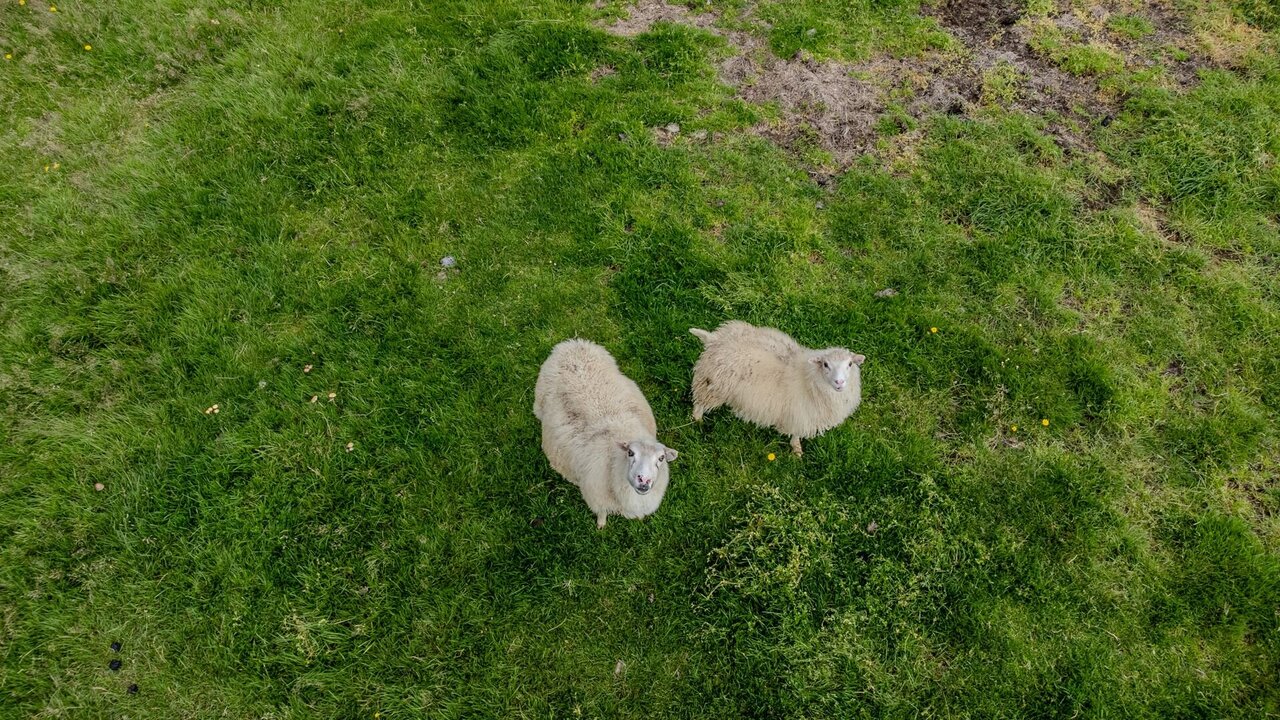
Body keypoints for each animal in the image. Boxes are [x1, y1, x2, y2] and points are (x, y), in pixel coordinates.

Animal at [534, 339, 679, 529]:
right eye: (630, 453)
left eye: (661, 458)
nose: (644, 480)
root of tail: (572, 343)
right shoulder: (597, 499)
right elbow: (602, 514)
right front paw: (601, 527)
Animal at [689, 321, 864, 456]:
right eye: (825, 364)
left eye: (850, 364)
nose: (839, 382)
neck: (809, 378)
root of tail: (714, 339)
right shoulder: (799, 414)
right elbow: (796, 434)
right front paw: (797, 451)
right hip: (713, 385)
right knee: (699, 403)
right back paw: (698, 421)